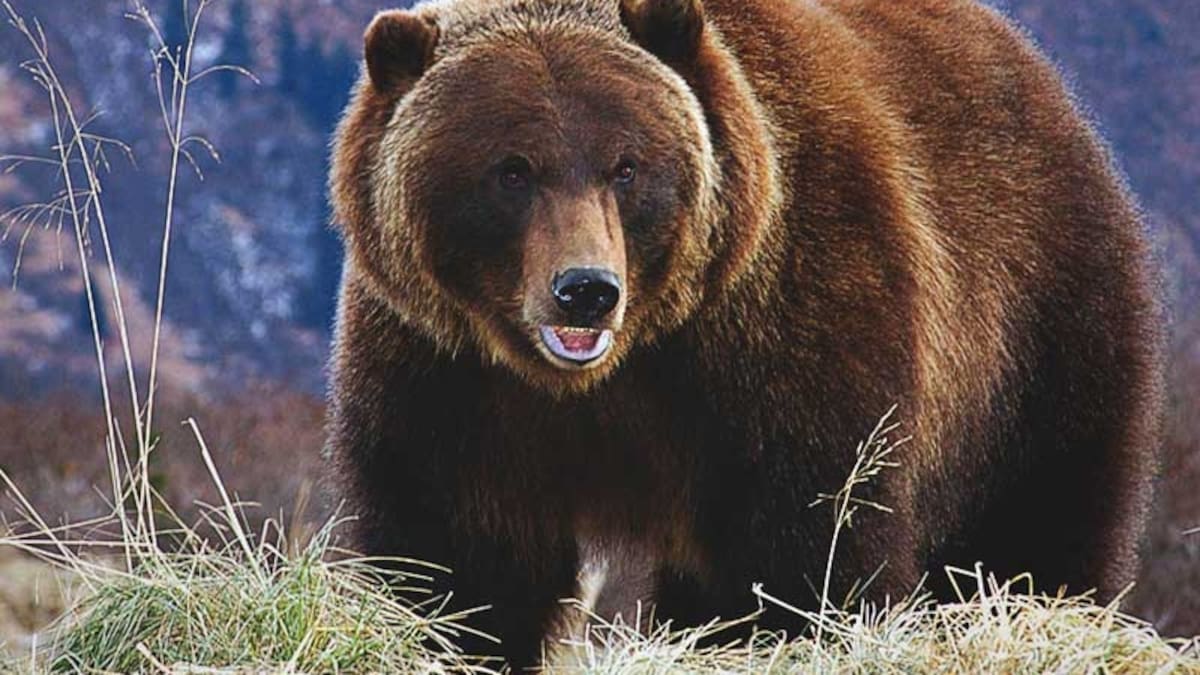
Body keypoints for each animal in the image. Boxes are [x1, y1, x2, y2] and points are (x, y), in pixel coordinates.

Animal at [326, 0, 1164, 668]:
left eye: (626, 164)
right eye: (512, 168)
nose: (586, 290)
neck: (608, 374)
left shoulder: (786, 341)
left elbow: (807, 551)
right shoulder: (449, 377)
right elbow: (456, 560)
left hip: (1038, 330)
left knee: (1038, 523)